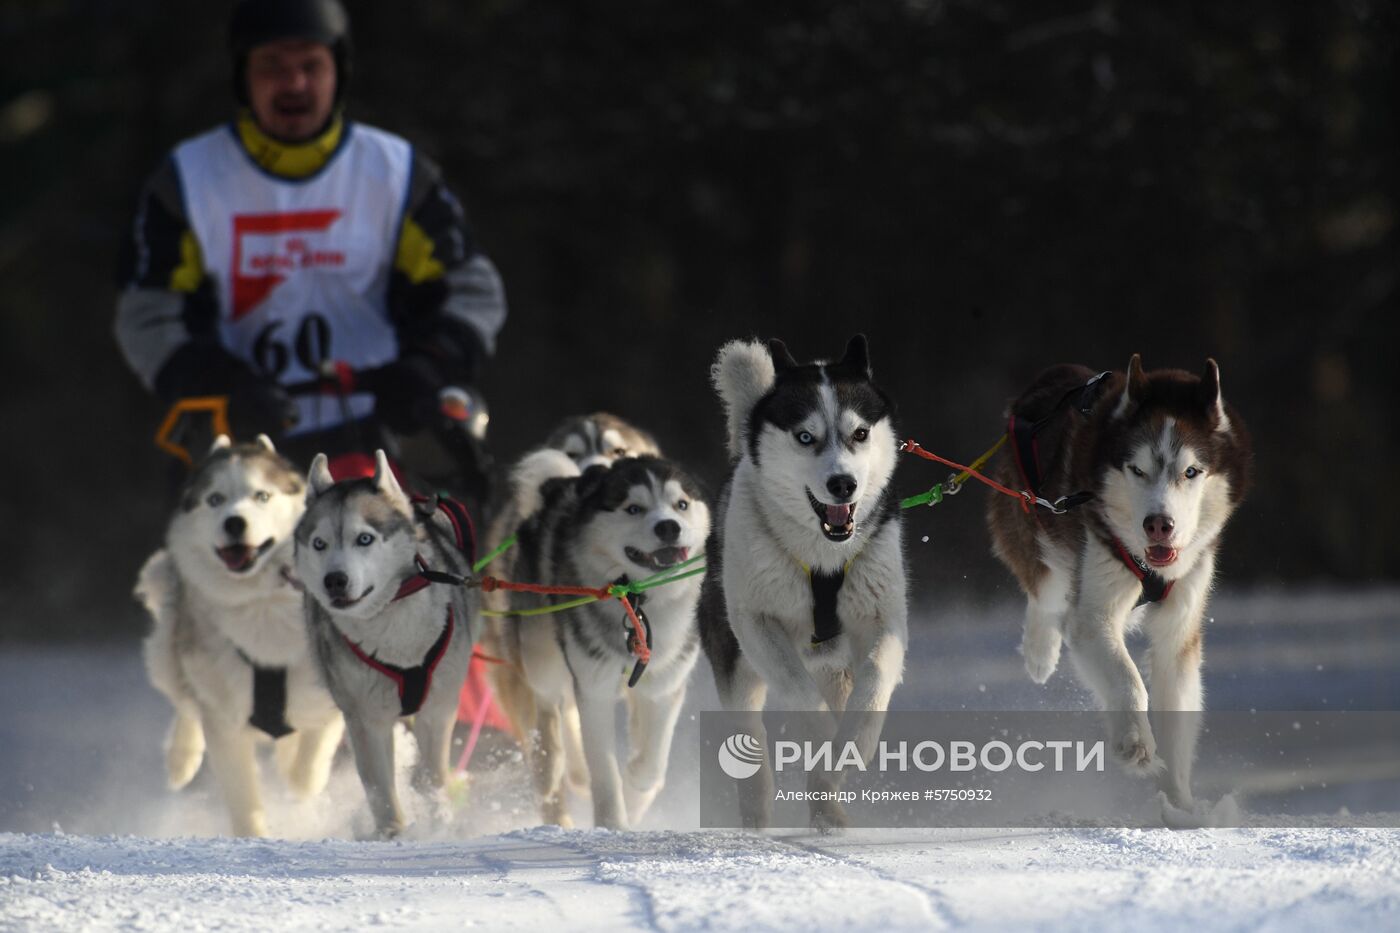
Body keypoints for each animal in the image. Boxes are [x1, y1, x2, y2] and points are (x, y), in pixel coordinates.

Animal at [137, 437, 344, 834]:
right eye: (215, 499)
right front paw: (253, 835)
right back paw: (181, 758)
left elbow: (308, 765)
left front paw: (297, 775)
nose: (234, 522)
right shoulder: (223, 717)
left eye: (261, 495)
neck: (261, 600)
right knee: (185, 701)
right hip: (172, 650)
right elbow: (242, 796)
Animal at [292, 451, 478, 834]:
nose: (335, 580)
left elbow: (432, 774)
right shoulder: (364, 718)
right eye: (319, 544)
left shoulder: (439, 707)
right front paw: (392, 833)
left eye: (364, 539)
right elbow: (380, 788)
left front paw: (439, 819)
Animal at [504, 453, 711, 823]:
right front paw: (614, 822)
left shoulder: (665, 684)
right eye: (633, 508)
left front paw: (635, 793)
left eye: (682, 504)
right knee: (549, 706)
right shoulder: (595, 689)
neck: (640, 603)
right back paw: (551, 768)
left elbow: (650, 766)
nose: (668, 526)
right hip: (540, 651)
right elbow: (604, 771)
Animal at [697, 334, 907, 829]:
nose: (843, 484)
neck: (821, 558)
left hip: (835, 666)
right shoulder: (756, 625)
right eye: (805, 436)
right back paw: (759, 813)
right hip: (735, 661)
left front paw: (853, 744)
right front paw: (826, 741)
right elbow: (799, 694)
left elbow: (876, 676)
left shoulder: (883, 618)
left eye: (860, 433)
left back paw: (828, 808)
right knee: (750, 735)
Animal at [991, 354, 1254, 806]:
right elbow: (1127, 678)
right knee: (1046, 593)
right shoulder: (1094, 613)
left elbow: (1176, 711)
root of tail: (1052, 376)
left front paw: (1180, 806)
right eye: (1136, 469)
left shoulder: (1179, 629)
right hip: (1034, 526)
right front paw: (1135, 741)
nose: (1159, 524)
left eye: (1191, 471)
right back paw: (1040, 651)